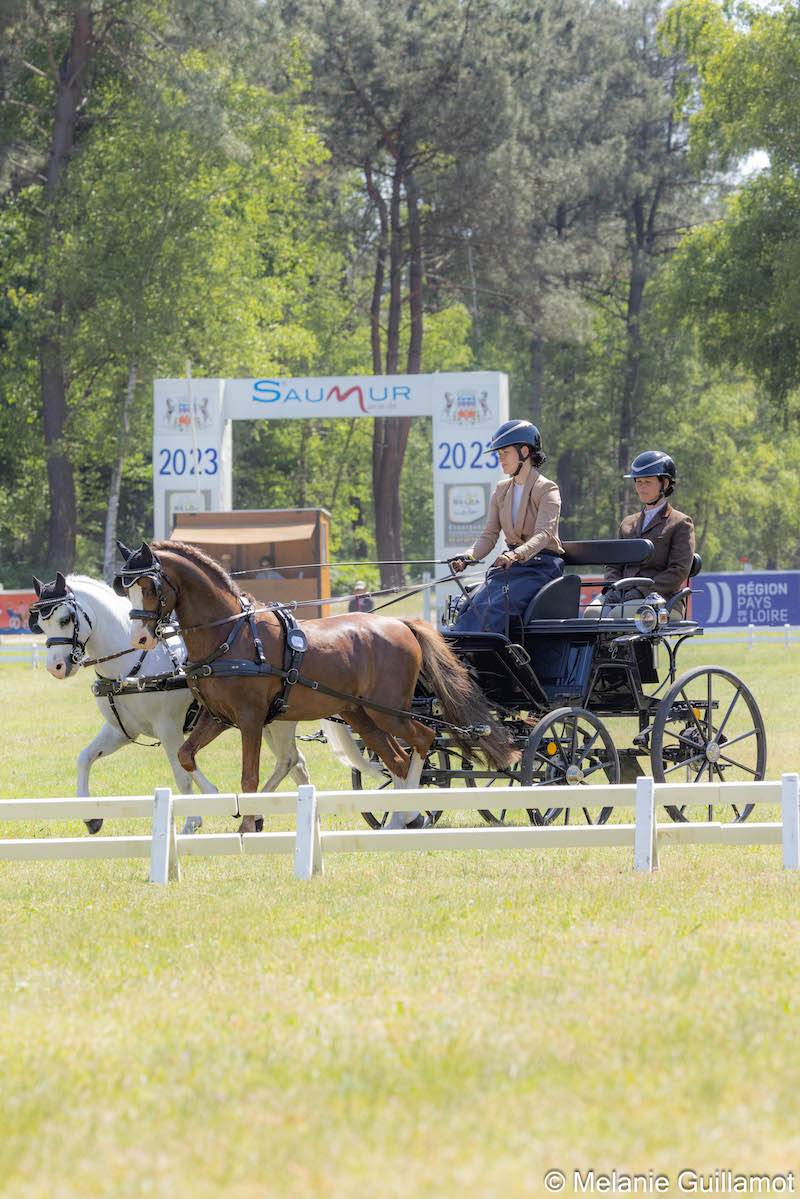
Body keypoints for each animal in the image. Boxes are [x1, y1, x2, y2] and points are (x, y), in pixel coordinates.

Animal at [118, 541, 513, 829]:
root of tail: (402, 623)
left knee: (423, 739)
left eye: (149, 586)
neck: (231, 634)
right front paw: (218, 798)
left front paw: (247, 824)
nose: (139, 638)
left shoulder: (250, 718)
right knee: (398, 759)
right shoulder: (217, 716)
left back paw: (409, 813)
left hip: (389, 711)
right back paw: (400, 819)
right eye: (126, 590)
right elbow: (186, 756)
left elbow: (249, 776)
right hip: (361, 715)